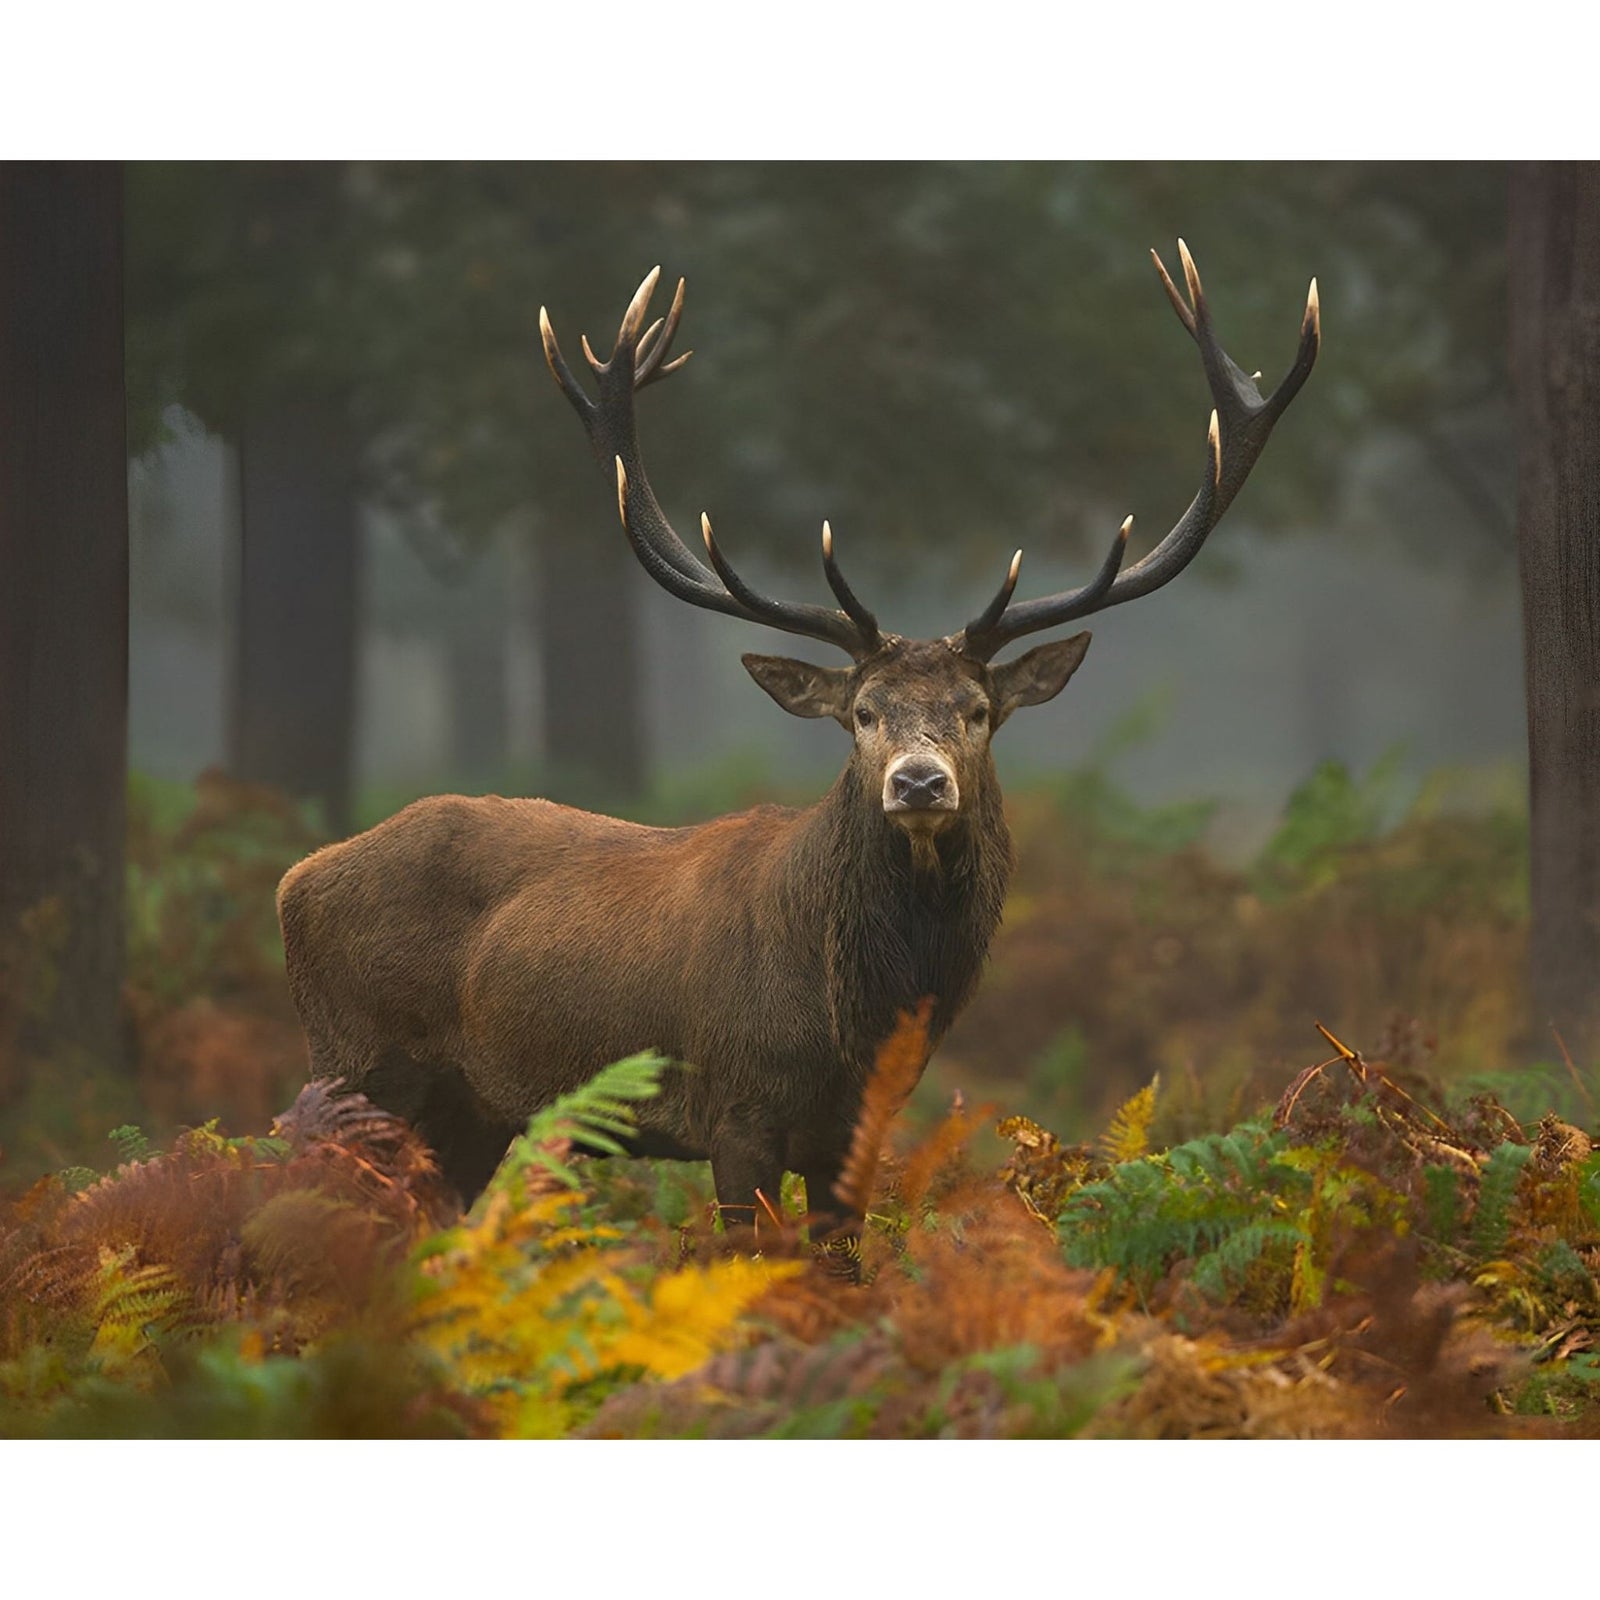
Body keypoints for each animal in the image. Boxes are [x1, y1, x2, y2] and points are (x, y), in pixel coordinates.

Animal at [276, 244, 1319, 1242]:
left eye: (978, 711)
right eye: (863, 712)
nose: (919, 783)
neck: (849, 1024)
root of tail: (295, 880)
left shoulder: (856, 1131)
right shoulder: (736, 1113)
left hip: (473, 1111)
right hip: (357, 1065)